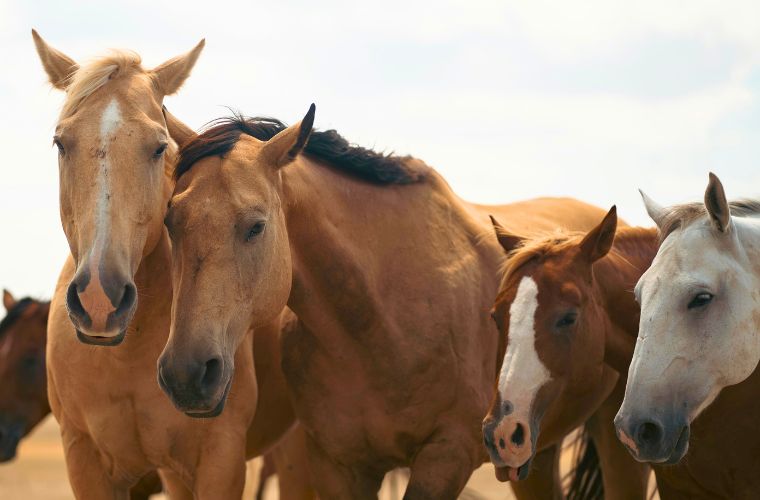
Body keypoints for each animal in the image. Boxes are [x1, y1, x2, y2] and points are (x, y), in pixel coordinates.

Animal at [33, 31, 311, 499]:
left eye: (159, 147)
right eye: (61, 143)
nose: (99, 299)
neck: (126, 358)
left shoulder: (220, 459)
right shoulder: (85, 461)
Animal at [160, 103, 610, 498]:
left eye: (256, 226)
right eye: (170, 222)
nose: (186, 374)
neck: (381, 323)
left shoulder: (446, 457)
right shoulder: (339, 466)